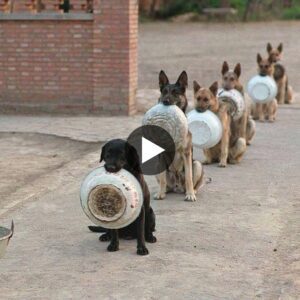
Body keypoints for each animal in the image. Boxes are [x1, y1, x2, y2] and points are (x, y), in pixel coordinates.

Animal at [155, 70, 204, 202]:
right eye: (164, 92)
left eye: (175, 93)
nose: (165, 101)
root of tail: (177, 186)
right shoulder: (161, 154)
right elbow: (162, 179)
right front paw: (160, 193)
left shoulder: (186, 153)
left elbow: (188, 177)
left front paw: (190, 195)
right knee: (165, 182)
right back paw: (164, 191)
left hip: (197, 165)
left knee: (194, 182)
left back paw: (192, 191)